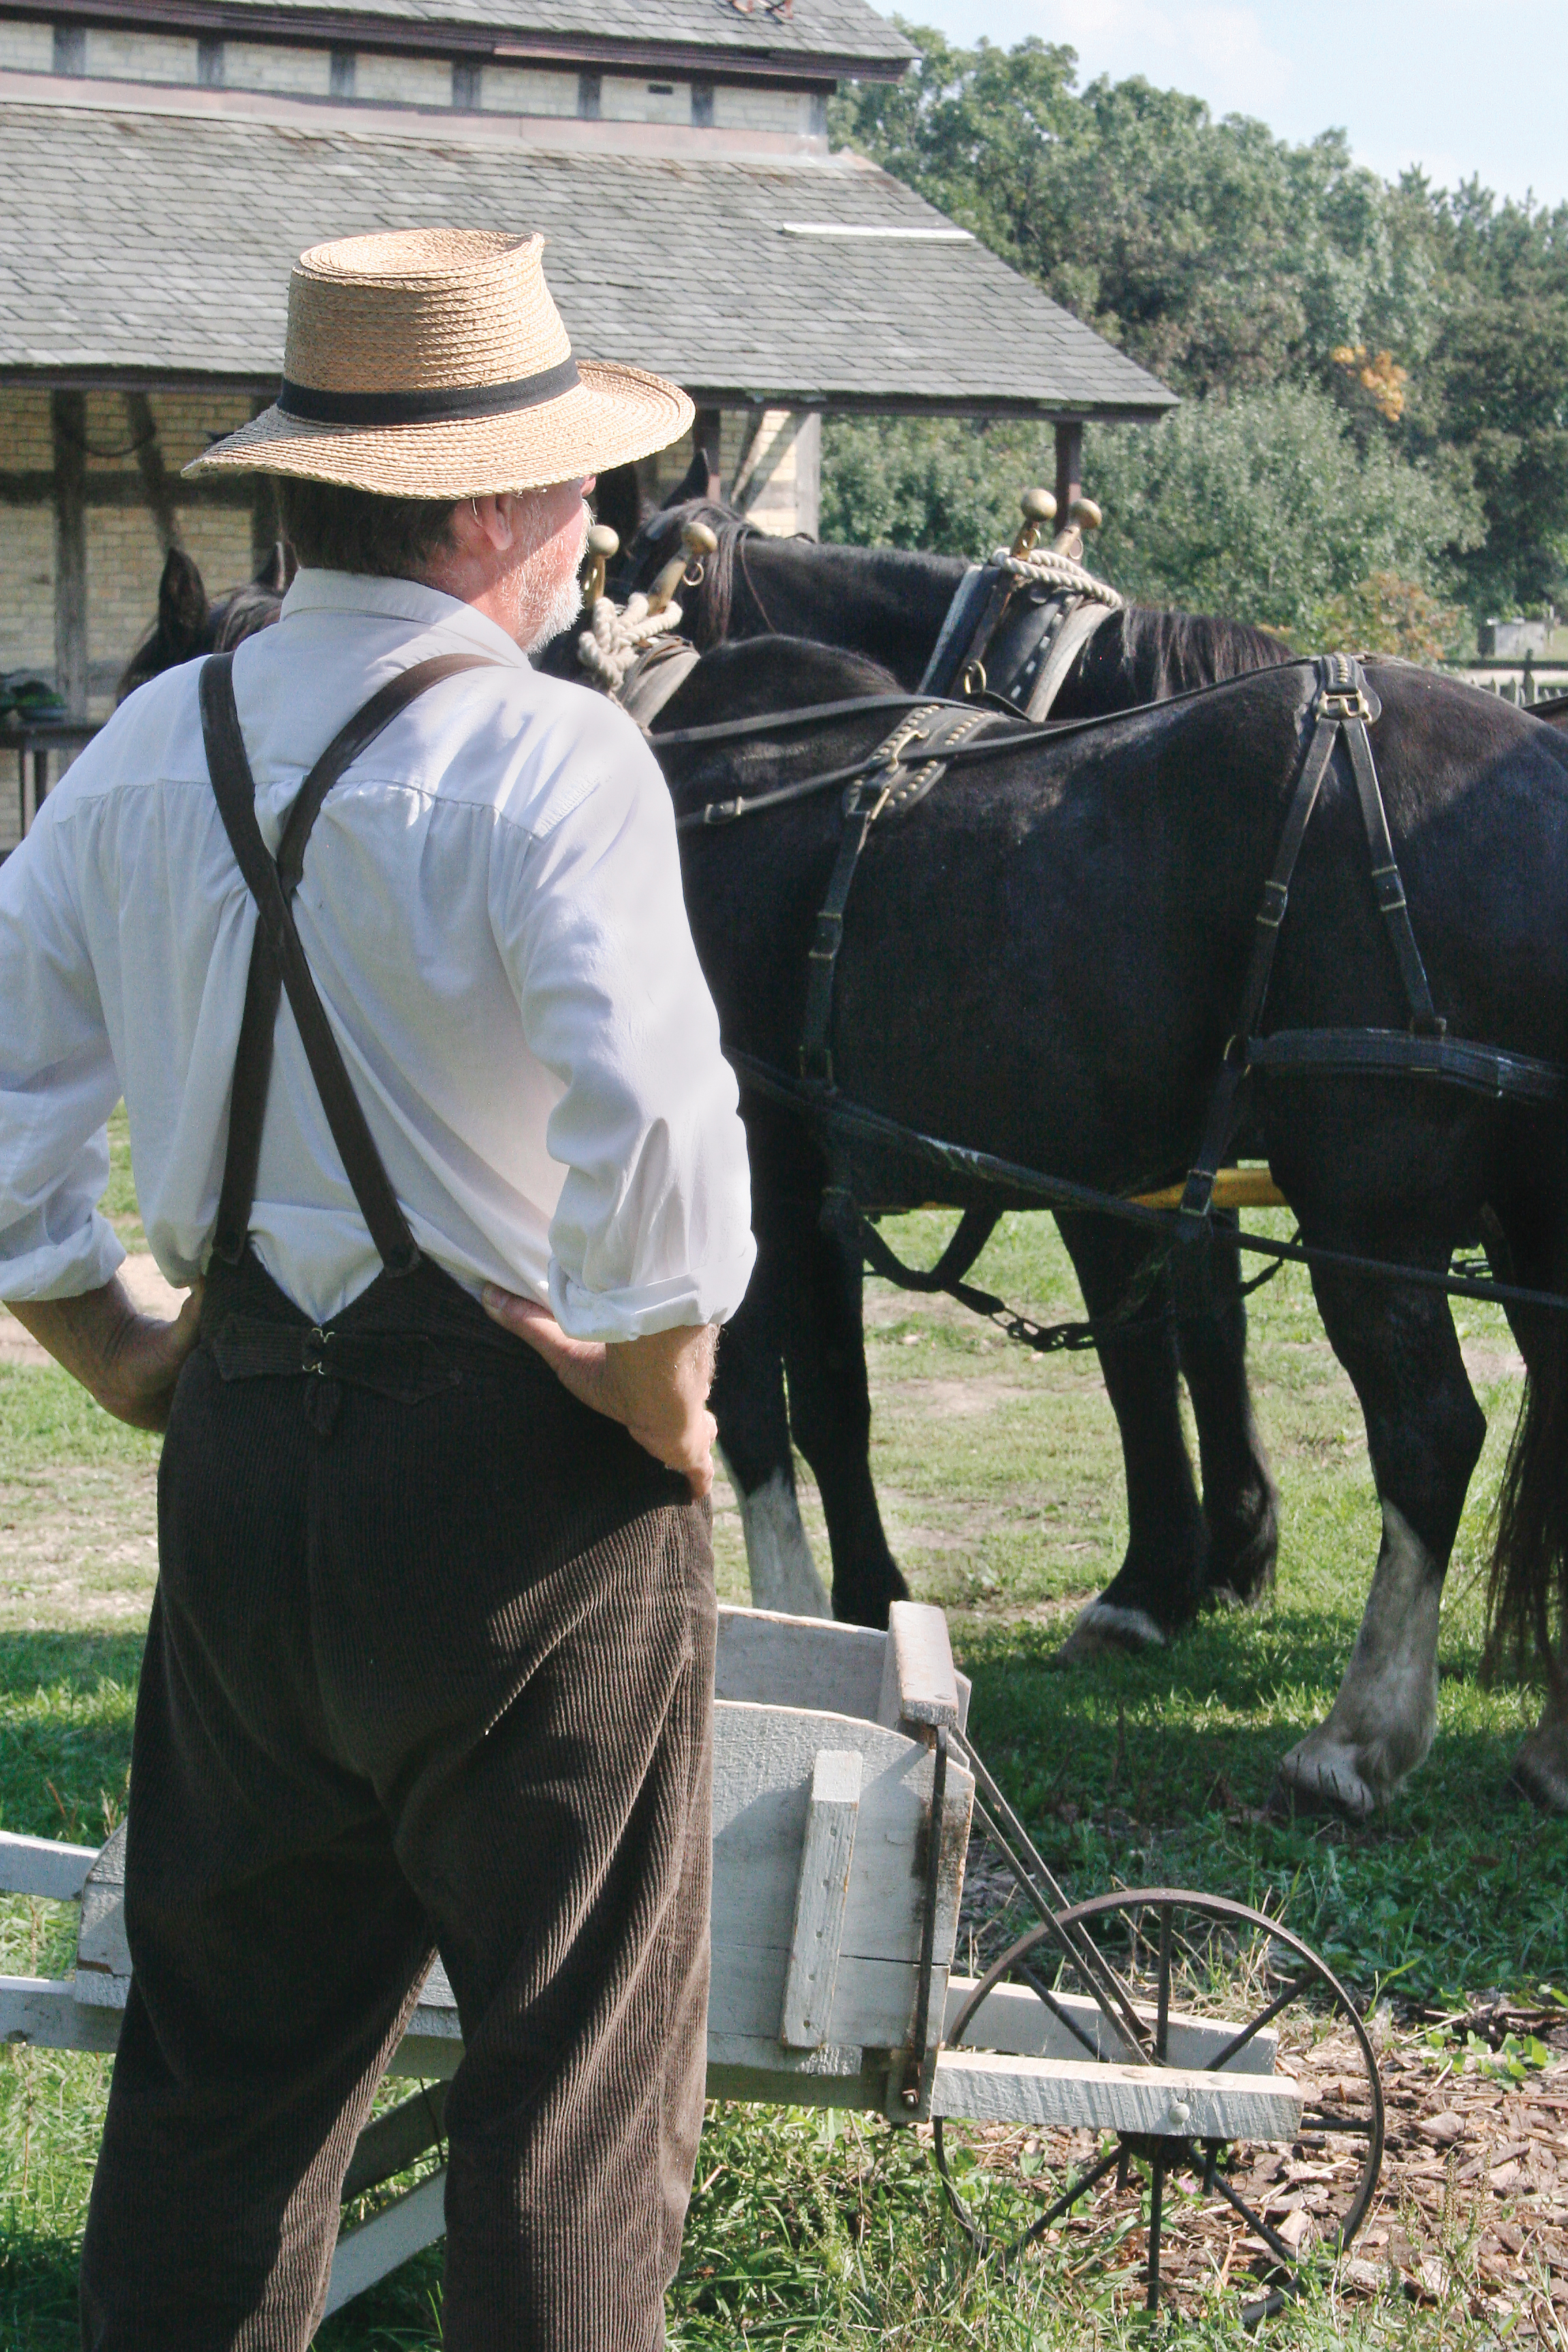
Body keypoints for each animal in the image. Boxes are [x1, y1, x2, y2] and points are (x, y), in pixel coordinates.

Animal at [658, 635, 1568, 1806]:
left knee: (1430, 1434)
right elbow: (829, 1407)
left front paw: (794, 1609)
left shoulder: (760, 1174)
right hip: (1526, 1210)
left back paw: (1355, 1736)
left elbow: (760, 1416)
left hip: (1372, 1201)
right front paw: (869, 1604)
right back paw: (1549, 1746)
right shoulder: (824, 1189)